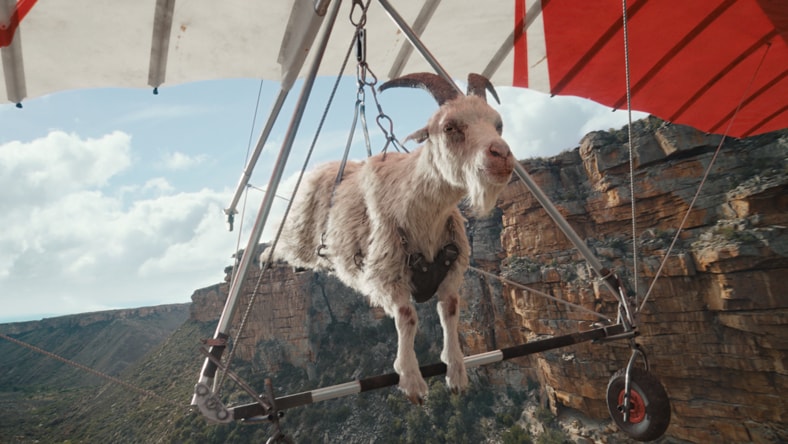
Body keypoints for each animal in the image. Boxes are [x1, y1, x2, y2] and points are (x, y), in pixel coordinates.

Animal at [262, 73, 514, 403]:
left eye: (498, 125)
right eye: (449, 127)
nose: (502, 155)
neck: (421, 213)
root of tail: (322, 166)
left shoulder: (451, 272)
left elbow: (449, 311)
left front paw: (457, 372)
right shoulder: (386, 275)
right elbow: (407, 316)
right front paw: (411, 380)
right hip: (299, 230)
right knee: (280, 242)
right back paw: (265, 258)